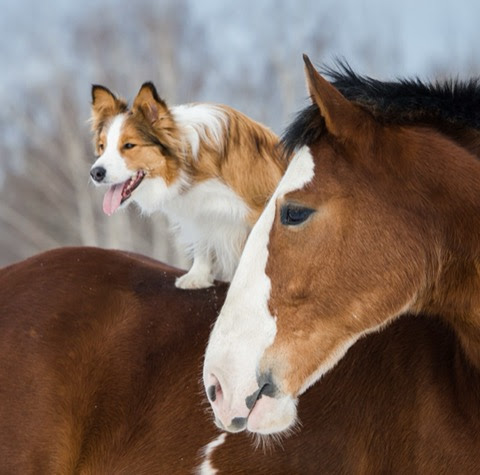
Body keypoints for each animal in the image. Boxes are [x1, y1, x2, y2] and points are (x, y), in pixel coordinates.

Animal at [90, 83, 284, 288]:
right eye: (102, 146)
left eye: (128, 145)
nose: (95, 173)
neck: (189, 160)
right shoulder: (200, 210)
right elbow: (202, 241)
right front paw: (197, 276)